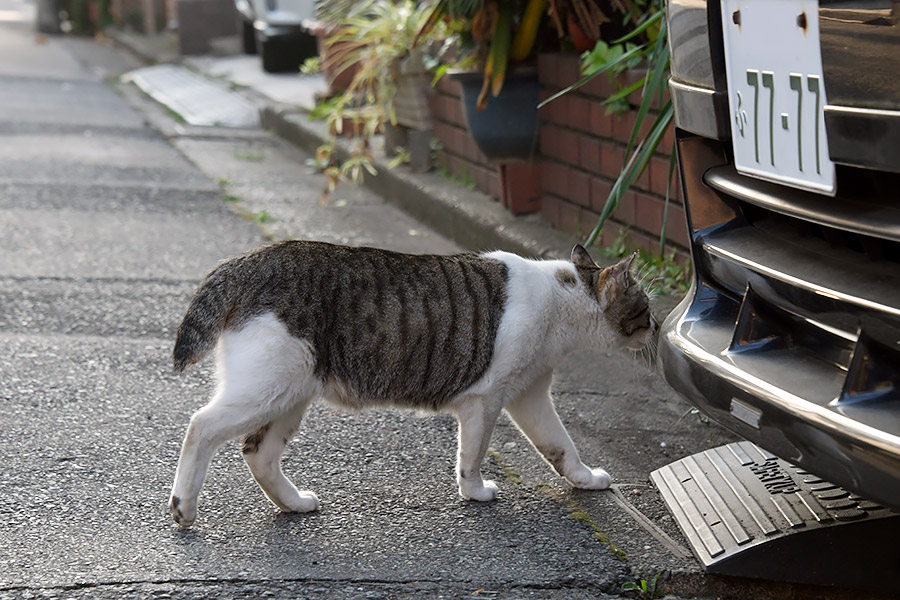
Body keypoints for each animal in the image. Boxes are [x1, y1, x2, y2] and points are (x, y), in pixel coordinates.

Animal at [169, 241, 652, 528]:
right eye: (646, 307)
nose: (655, 327)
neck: (563, 299)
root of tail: (249, 259)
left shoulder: (530, 395)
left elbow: (561, 445)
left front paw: (584, 478)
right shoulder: (486, 399)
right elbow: (473, 454)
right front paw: (475, 492)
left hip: (289, 393)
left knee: (259, 453)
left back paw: (293, 503)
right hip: (266, 387)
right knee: (200, 426)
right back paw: (183, 507)